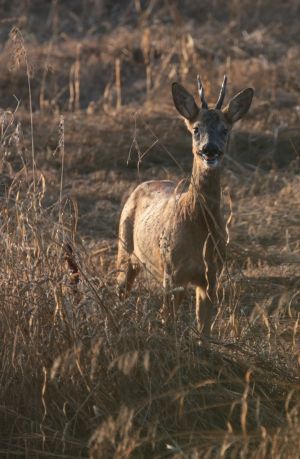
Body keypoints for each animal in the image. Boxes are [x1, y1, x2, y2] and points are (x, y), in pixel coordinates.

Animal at [117, 76, 253, 338]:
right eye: (196, 129)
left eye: (225, 129)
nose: (210, 149)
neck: (199, 226)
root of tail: (141, 185)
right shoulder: (173, 274)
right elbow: (167, 322)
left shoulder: (211, 275)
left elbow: (205, 330)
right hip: (125, 248)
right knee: (120, 290)